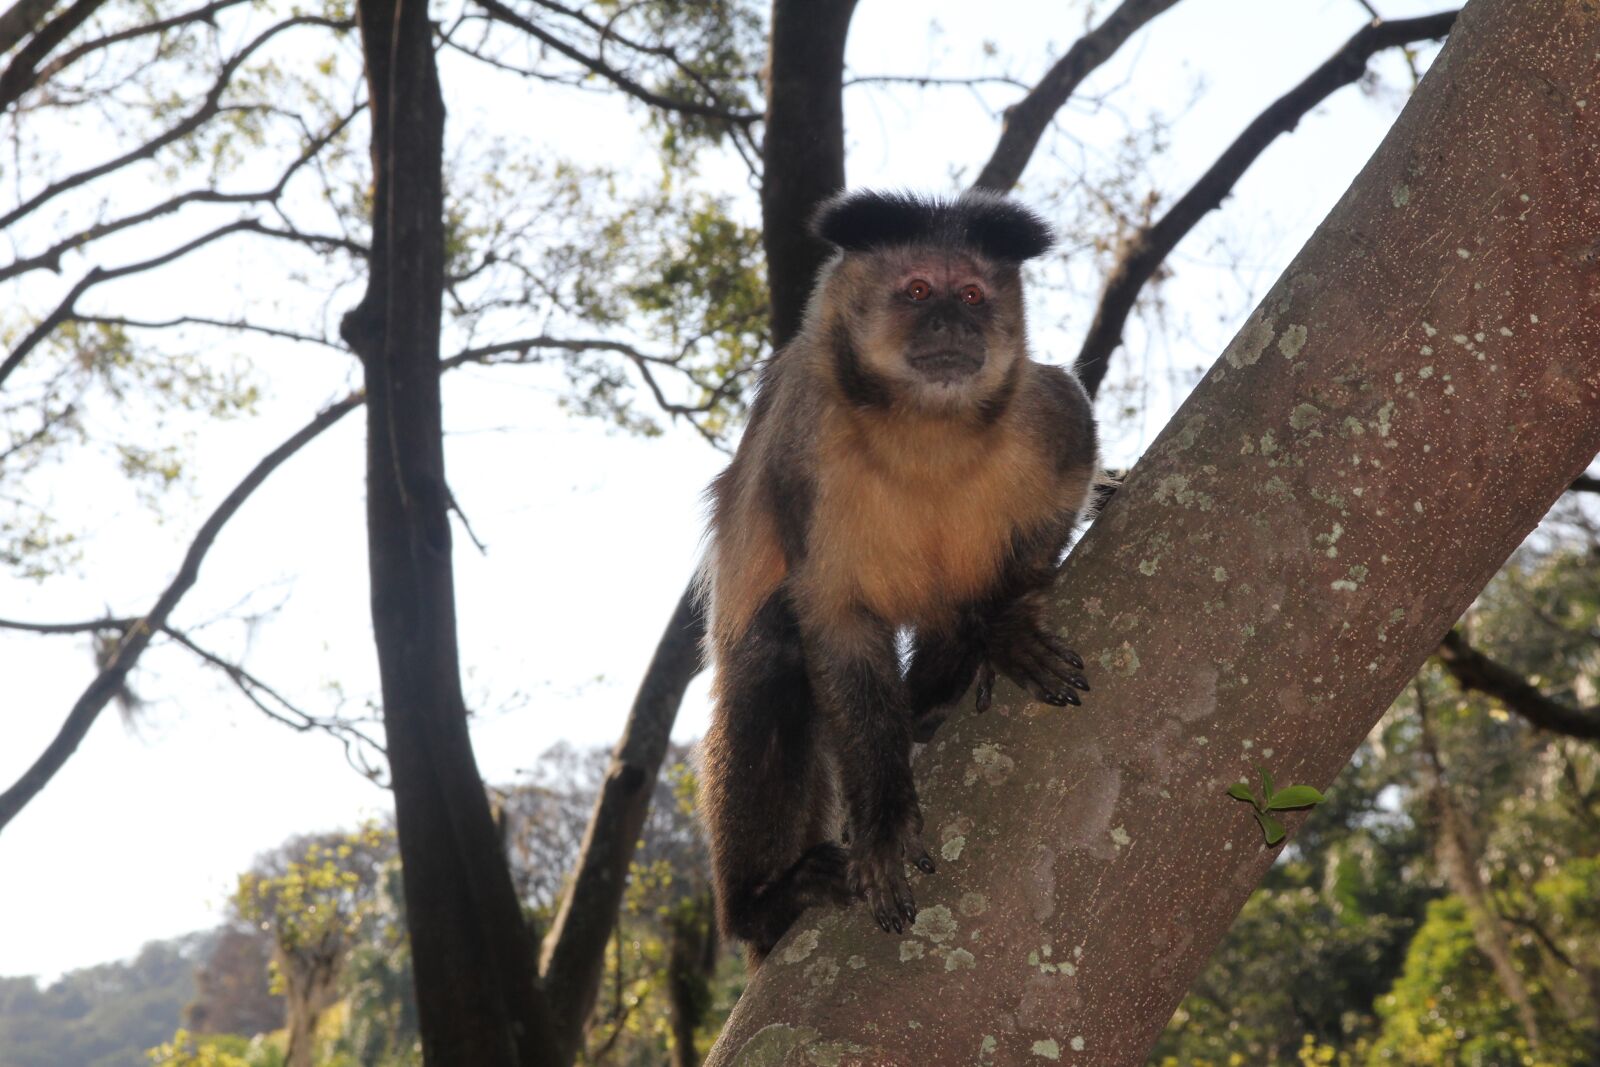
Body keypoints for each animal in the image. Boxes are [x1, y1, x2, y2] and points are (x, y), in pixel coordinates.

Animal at [697, 189, 1099, 963]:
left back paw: (942, 689)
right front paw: (883, 812)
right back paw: (765, 903)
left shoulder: (1041, 414)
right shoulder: (804, 453)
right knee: (771, 661)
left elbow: (1068, 479)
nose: (953, 321)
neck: (924, 428)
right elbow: (835, 620)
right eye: (918, 291)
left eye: (971, 294)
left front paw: (1001, 627)